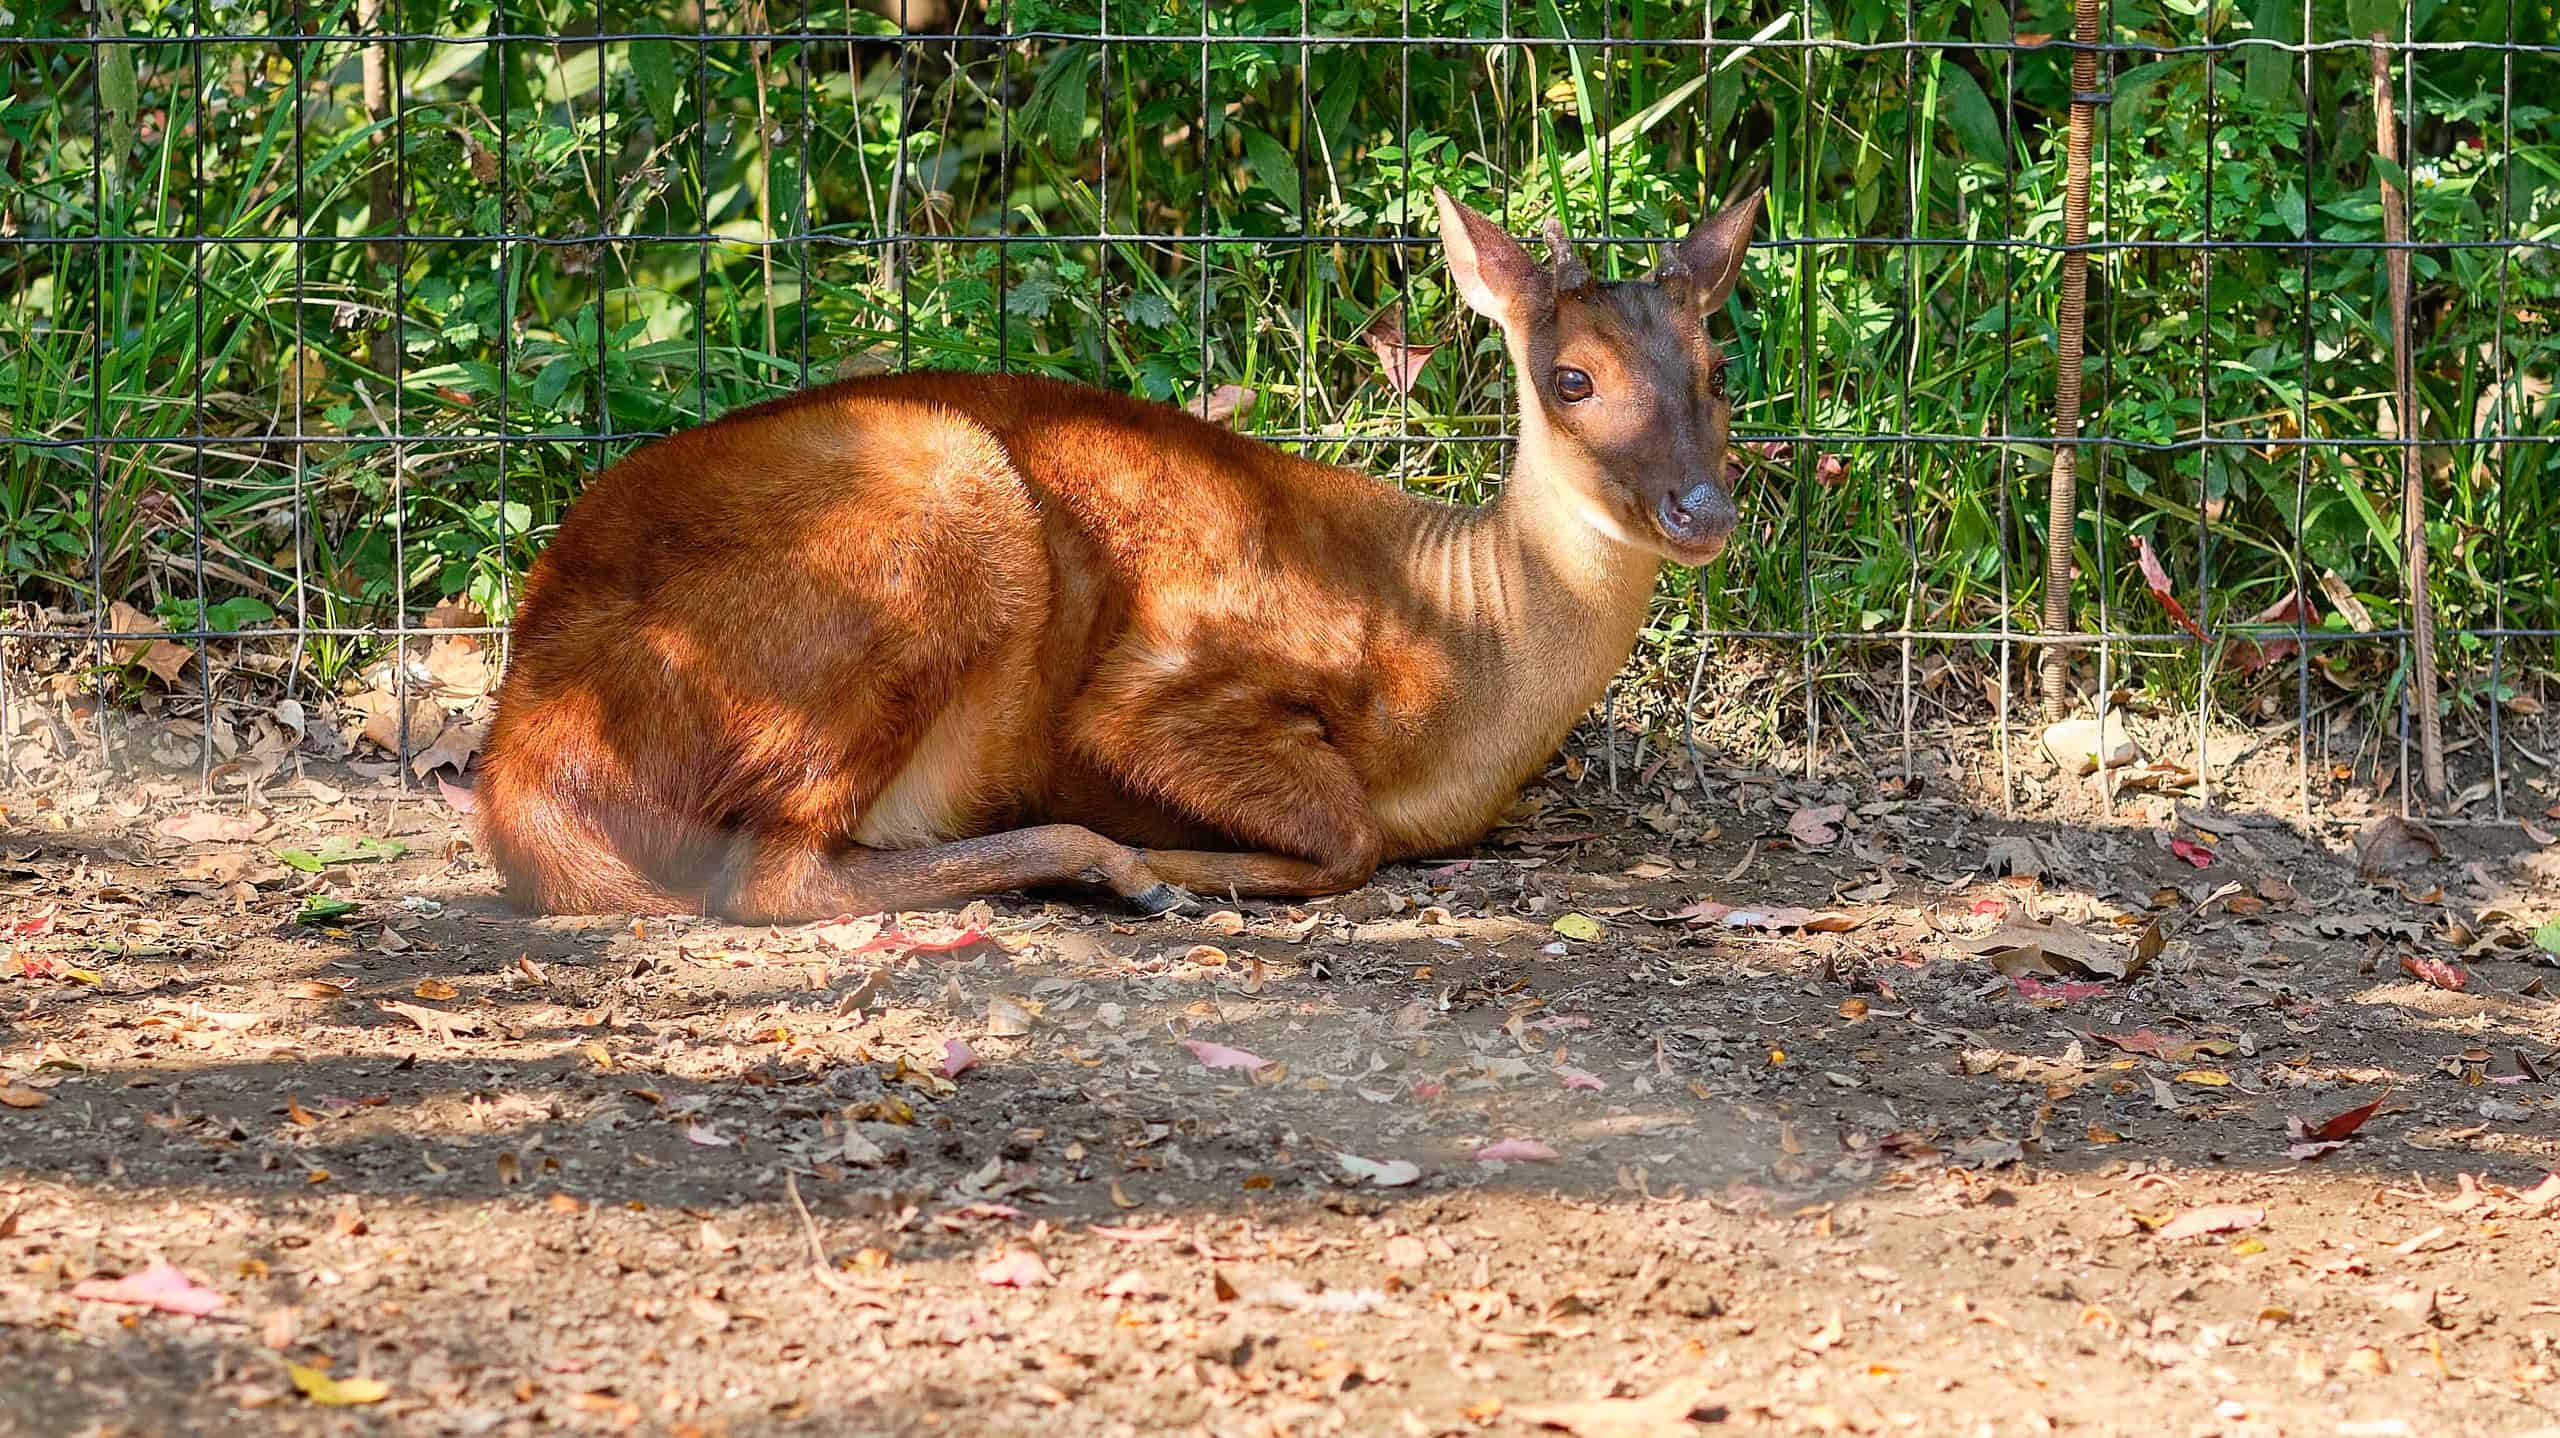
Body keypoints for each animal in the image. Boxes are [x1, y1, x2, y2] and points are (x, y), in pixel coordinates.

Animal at [476, 188, 1761, 916]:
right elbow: (1346, 839)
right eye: (1571, 378)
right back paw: (1118, 869)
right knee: (769, 877)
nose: (1700, 508)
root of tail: (527, 737)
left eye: (1716, 372)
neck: (1464, 647)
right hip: (947, 512)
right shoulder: (1168, 681)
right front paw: (1191, 863)